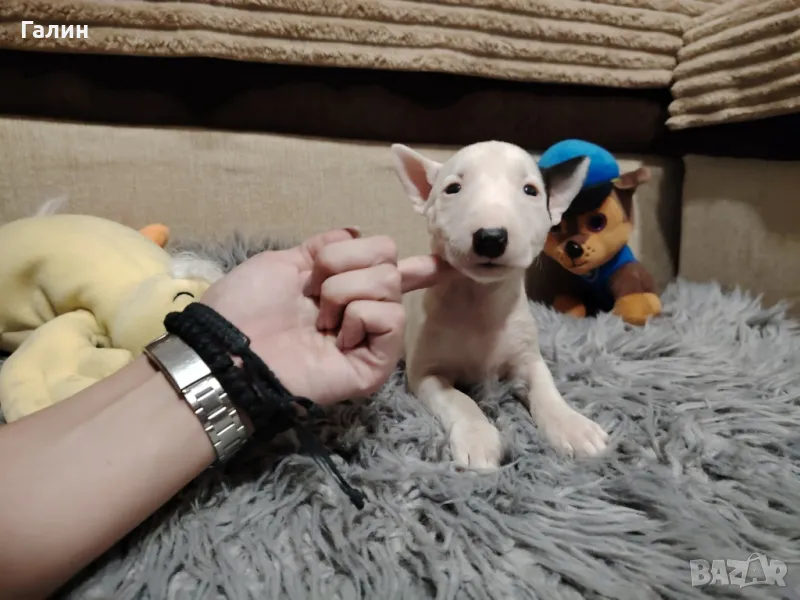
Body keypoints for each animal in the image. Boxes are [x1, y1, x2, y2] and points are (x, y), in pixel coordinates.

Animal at [391, 140, 609, 469]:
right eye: (453, 188)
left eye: (530, 190)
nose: (491, 237)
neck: (481, 297)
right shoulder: (425, 373)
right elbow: (459, 399)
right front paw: (479, 440)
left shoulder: (528, 358)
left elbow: (546, 387)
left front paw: (573, 427)